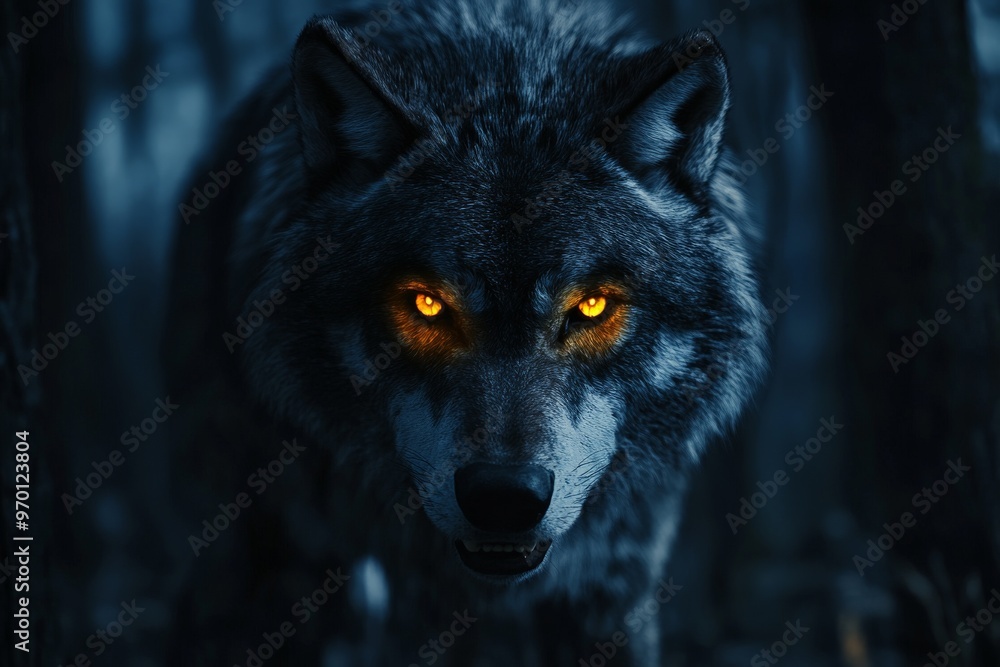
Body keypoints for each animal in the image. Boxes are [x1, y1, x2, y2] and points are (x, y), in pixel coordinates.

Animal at [164, 0, 768, 664]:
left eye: (590, 307)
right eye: (428, 304)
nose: (504, 497)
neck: (508, 63)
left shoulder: (612, 584)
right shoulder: (420, 596)